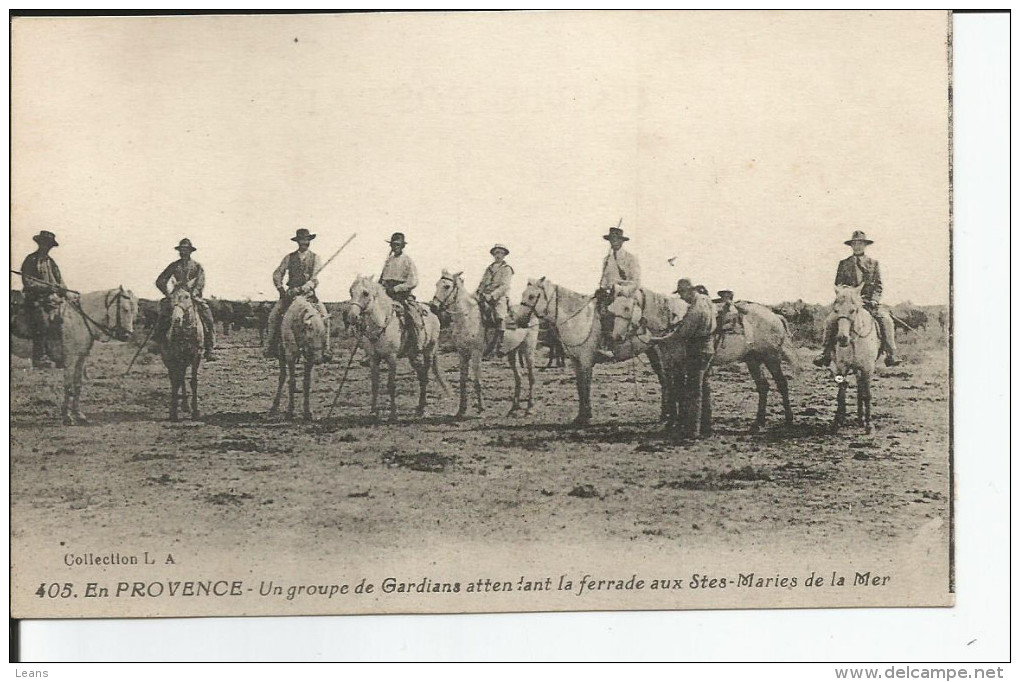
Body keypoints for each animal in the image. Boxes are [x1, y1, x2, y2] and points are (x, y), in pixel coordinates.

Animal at [348, 277, 448, 420]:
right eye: (351, 292)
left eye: (365, 293)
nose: (352, 317)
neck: (382, 323)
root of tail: (432, 312)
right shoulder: (374, 358)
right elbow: (374, 384)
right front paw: (373, 412)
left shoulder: (392, 357)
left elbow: (391, 385)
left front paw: (393, 414)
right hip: (412, 355)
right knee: (421, 375)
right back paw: (419, 408)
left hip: (429, 350)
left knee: (425, 376)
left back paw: (423, 409)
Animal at [430, 269, 542, 417]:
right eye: (436, 284)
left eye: (447, 286)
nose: (433, 306)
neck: (467, 317)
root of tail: (531, 313)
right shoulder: (462, 353)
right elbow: (462, 381)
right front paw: (461, 410)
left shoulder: (476, 353)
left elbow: (477, 380)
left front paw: (481, 408)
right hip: (512, 352)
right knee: (518, 377)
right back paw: (513, 408)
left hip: (528, 349)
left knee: (531, 377)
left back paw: (530, 408)